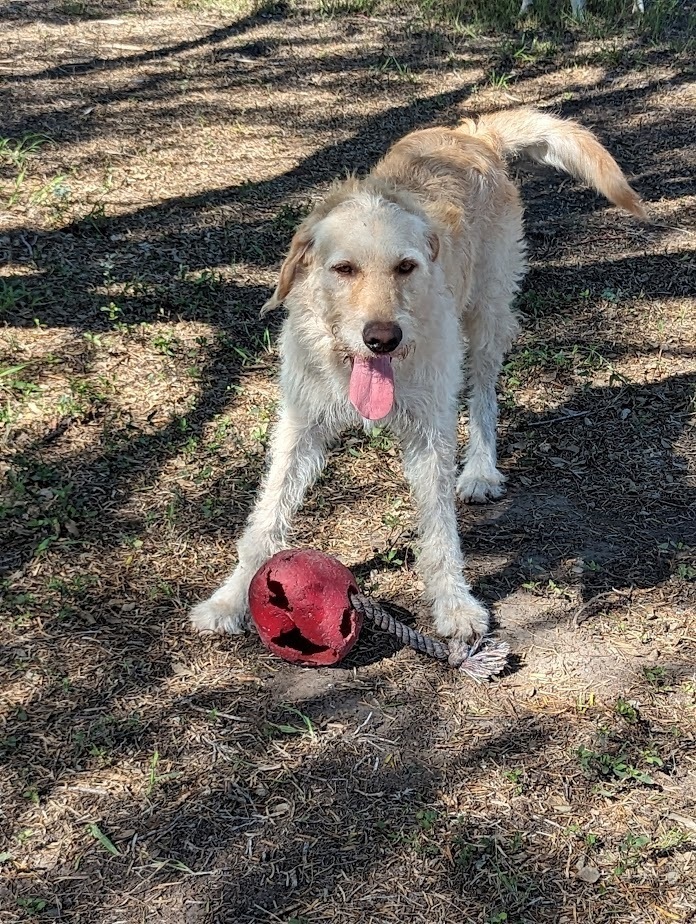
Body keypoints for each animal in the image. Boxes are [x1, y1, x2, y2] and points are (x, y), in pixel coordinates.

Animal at [188, 108, 644, 652]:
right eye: (344, 269)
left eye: (406, 266)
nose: (383, 338)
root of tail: (472, 133)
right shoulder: (301, 426)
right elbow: (267, 516)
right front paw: (230, 599)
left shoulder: (431, 431)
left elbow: (440, 526)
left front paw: (454, 604)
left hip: (487, 316)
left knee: (484, 395)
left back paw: (480, 469)